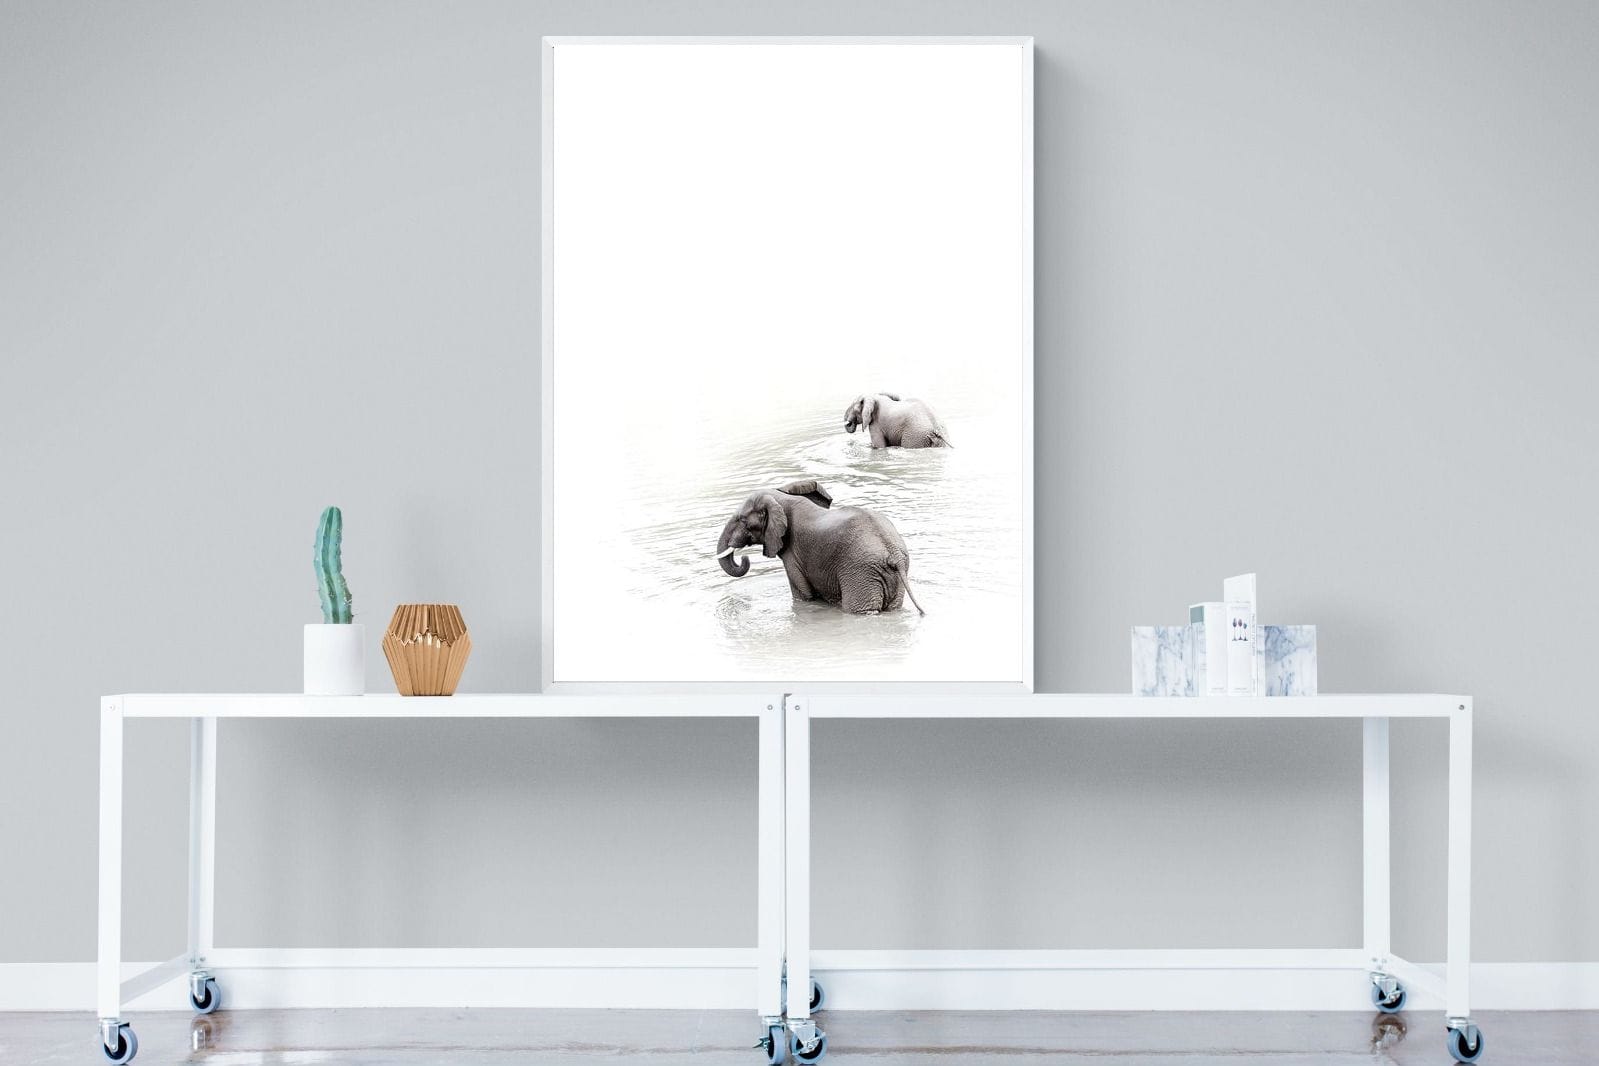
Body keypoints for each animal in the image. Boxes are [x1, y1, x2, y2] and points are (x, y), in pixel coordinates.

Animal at [713, 479, 925, 615]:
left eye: (742, 520)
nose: (744, 558)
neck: (782, 498)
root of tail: (893, 554)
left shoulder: (793, 553)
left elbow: (802, 596)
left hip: (861, 572)